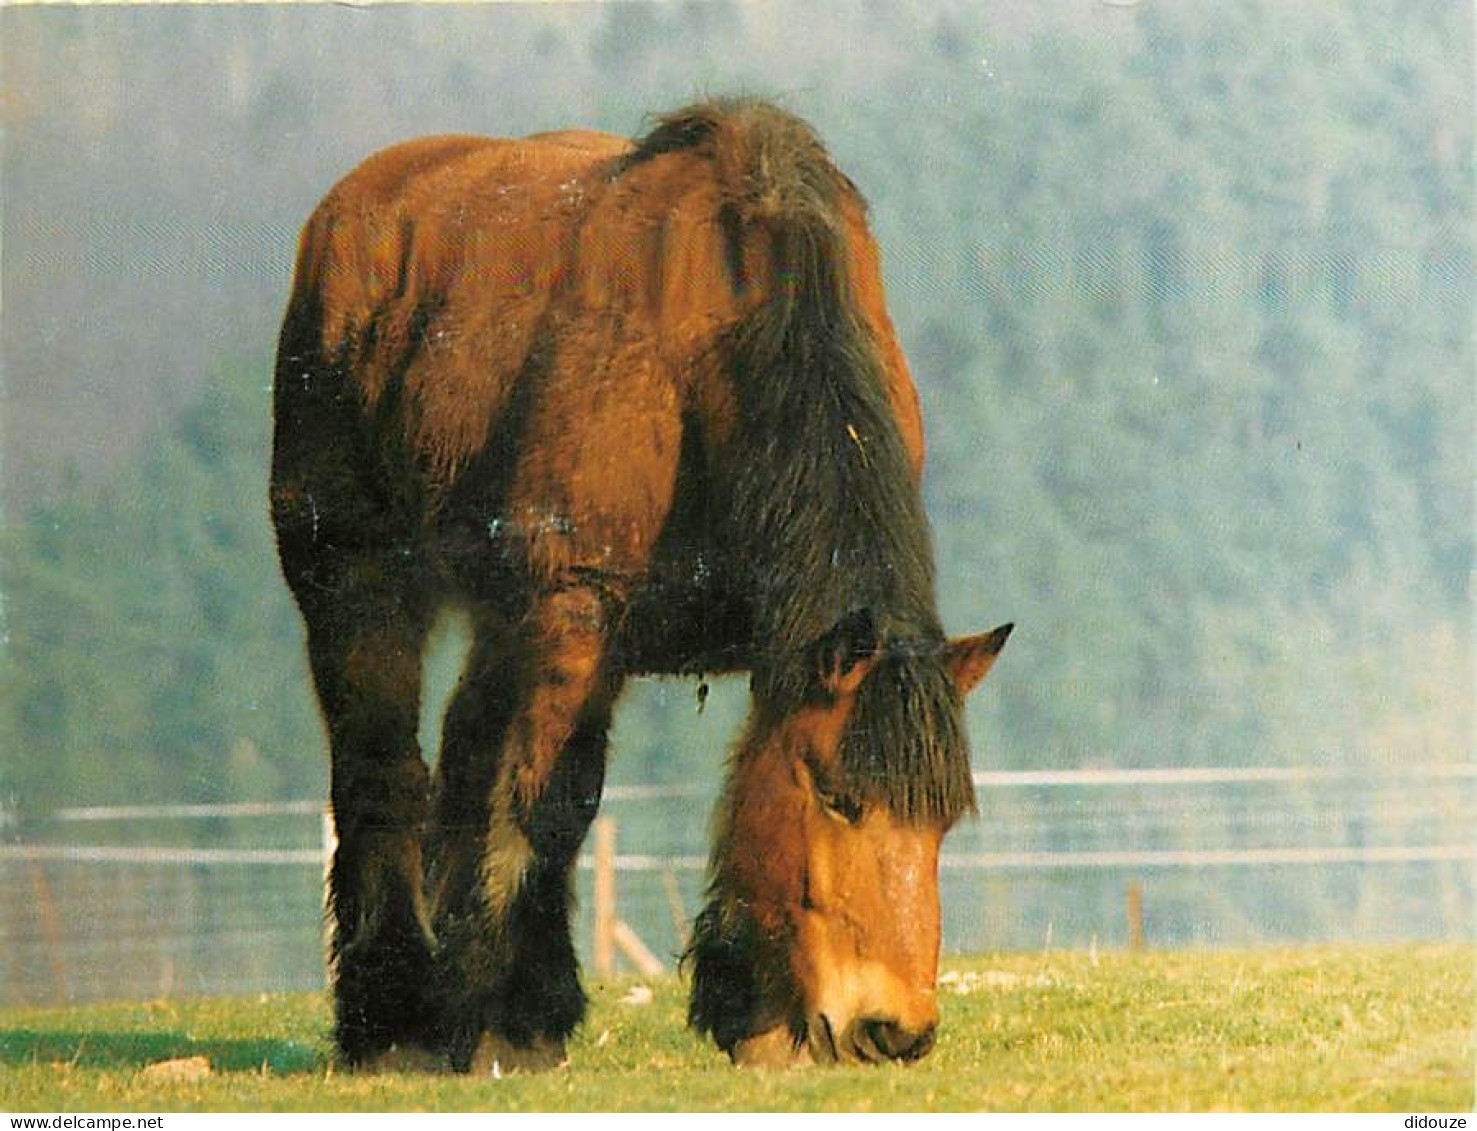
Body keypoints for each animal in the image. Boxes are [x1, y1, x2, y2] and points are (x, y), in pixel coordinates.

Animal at [271, 97, 1010, 1074]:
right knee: (380, 769)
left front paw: (753, 1016)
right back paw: (388, 1022)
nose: (892, 1030)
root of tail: (348, 209)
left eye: (943, 821)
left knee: (463, 759)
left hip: (501, 620)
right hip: (355, 583)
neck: (712, 351)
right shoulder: (575, 614)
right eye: (838, 798)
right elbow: (545, 806)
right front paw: (515, 1020)